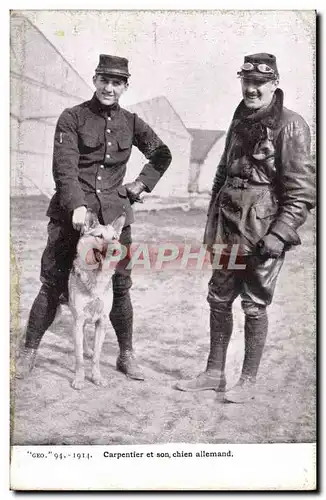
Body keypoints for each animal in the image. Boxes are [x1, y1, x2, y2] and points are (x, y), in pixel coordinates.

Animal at [68, 211, 125, 390]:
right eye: (99, 236)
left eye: (114, 238)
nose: (115, 251)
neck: (96, 276)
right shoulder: (79, 320)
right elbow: (78, 358)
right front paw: (79, 379)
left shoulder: (101, 322)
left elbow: (96, 357)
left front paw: (96, 377)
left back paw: (87, 350)